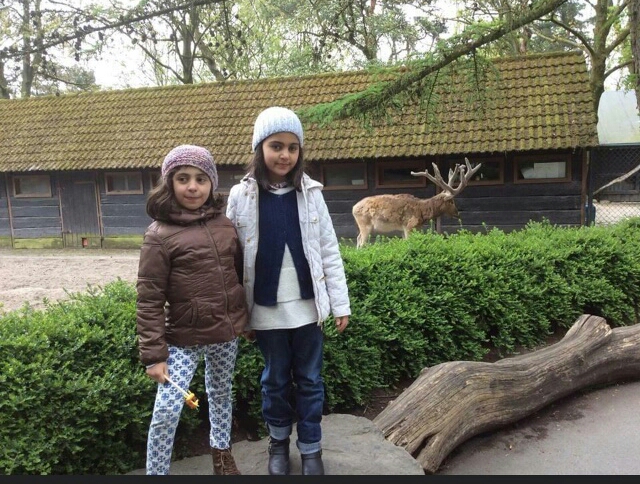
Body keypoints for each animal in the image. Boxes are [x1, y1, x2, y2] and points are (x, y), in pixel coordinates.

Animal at [352, 158, 481, 248]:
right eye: (451, 201)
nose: (457, 213)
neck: (421, 212)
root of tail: (353, 208)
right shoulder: (409, 225)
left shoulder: (410, 228)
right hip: (365, 223)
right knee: (362, 242)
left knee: (357, 239)